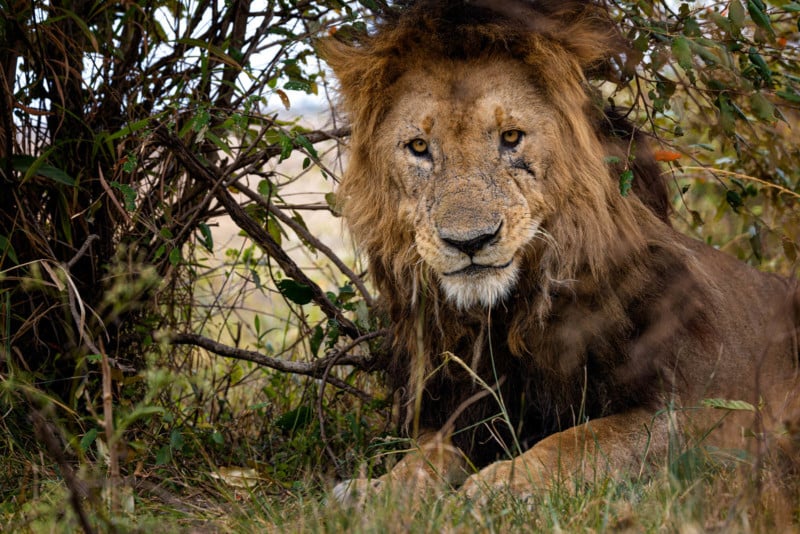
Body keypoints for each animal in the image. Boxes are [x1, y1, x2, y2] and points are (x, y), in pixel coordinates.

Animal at [320, 0, 800, 504]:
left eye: (511, 137)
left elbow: (577, 442)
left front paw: (500, 485)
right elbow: (424, 457)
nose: (470, 241)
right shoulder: (461, 411)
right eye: (418, 147)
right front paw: (372, 491)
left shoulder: (692, 415)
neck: (508, 318)